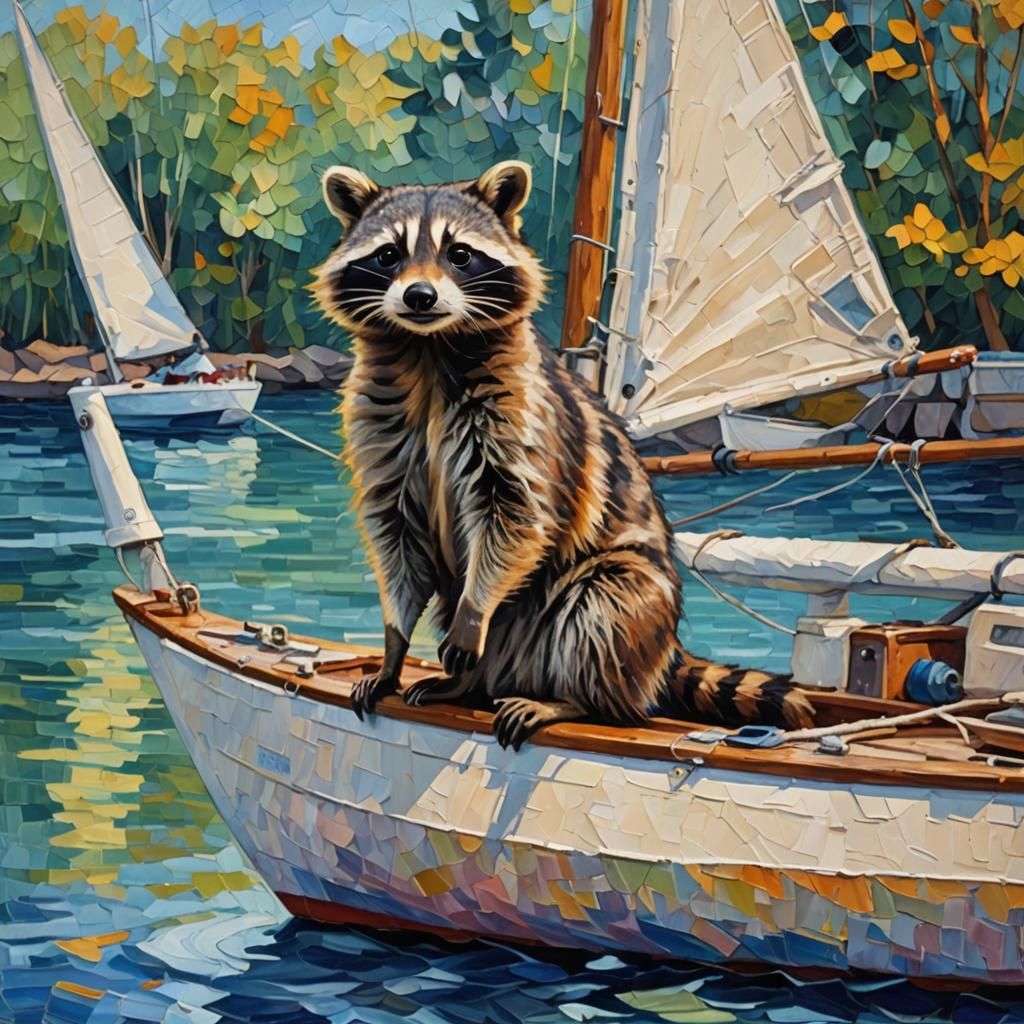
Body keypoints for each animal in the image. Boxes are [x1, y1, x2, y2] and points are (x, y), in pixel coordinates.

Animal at [314, 160, 815, 749]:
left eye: (459, 254)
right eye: (388, 254)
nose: (419, 296)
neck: (428, 349)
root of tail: (665, 653)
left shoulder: (523, 418)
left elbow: (516, 518)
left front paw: (473, 614)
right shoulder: (383, 429)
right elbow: (394, 533)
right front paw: (393, 646)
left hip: (625, 598)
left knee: (602, 613)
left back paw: (573, 700)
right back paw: (462, 686)